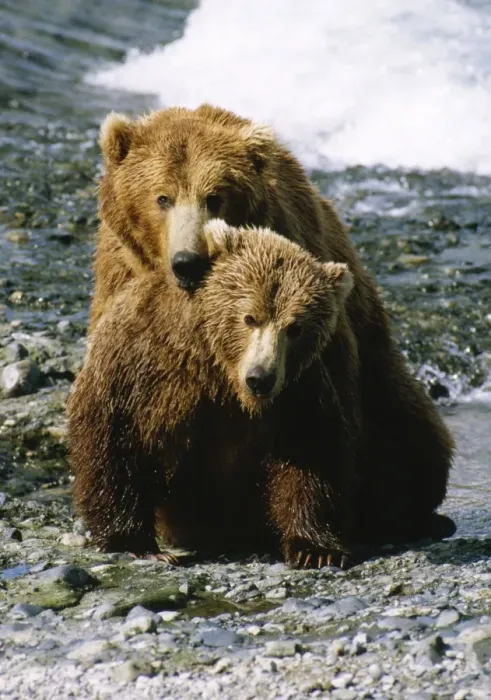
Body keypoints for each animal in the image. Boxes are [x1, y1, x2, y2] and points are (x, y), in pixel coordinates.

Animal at [68, 221, 360, 568]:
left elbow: (310, 455)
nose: (260, 378)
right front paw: (138, 543)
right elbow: (115, 440)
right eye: (249, 317)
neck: (218, 370)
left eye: (295, 328)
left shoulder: (296, 393)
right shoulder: (140, 365)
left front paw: (316, 549)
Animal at [89, 103, 456, 546]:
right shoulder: (124, 282)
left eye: (215, 196)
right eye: (162, 197)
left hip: (382, 374)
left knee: (410, 429)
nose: (188, 261)